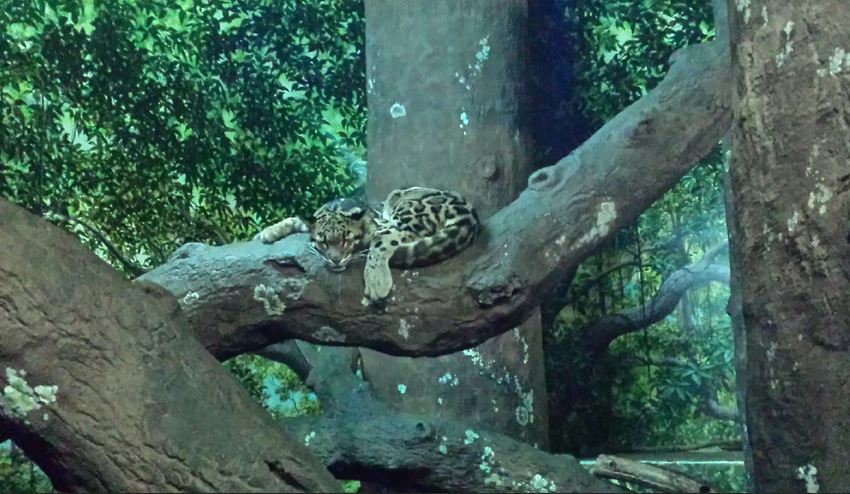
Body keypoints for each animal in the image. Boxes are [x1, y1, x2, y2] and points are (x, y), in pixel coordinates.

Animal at [256, 187, 479, 305]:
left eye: (346, 240)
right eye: (323, 242)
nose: (335, 261)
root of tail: (469, 214)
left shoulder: (379, 225)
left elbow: (378, 243)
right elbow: (295, 219)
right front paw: (268, 231)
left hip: (404, 209)